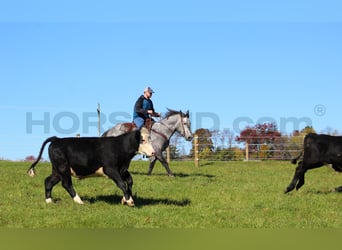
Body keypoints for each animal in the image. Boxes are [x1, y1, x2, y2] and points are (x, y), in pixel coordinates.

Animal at [26, 128, 154, 206]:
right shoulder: (110, 169)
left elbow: (130, 181)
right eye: (142, 140)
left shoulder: (123, 169)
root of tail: (57, 139)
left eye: (149, 138)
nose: (153, 152)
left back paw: (49, 201)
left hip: (57, 170)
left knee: (48, 181)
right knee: (66, 184)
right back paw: (79, 201)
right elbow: (122, 183)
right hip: (63, 168)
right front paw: (129, 201)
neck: (120, 146)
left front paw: (126, 199)